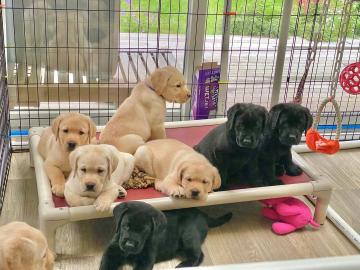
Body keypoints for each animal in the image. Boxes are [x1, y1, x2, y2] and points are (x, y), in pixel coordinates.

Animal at [100, 201, 232, 268]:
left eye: (144, 230)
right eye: (126, 226)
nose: (130, 245)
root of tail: (203, 214)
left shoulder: (145, 259)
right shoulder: (112, 252)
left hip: (188, 236)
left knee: (197, 256)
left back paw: (182, 265)